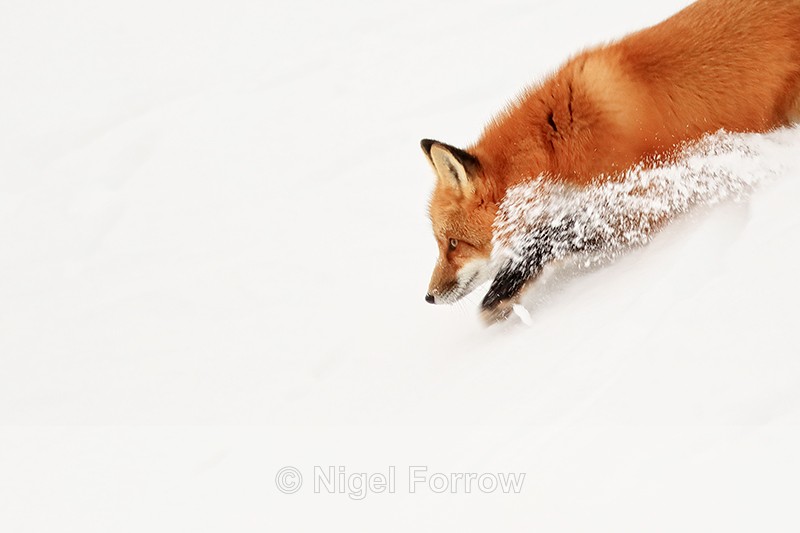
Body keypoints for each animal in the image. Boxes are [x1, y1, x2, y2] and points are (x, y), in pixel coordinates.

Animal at [422, 0, 800, 322]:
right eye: (441, 244)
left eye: (453, 244)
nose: (428, 297)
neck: (556, 142)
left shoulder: (644, 197)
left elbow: (554, 236)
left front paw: (502, 291)